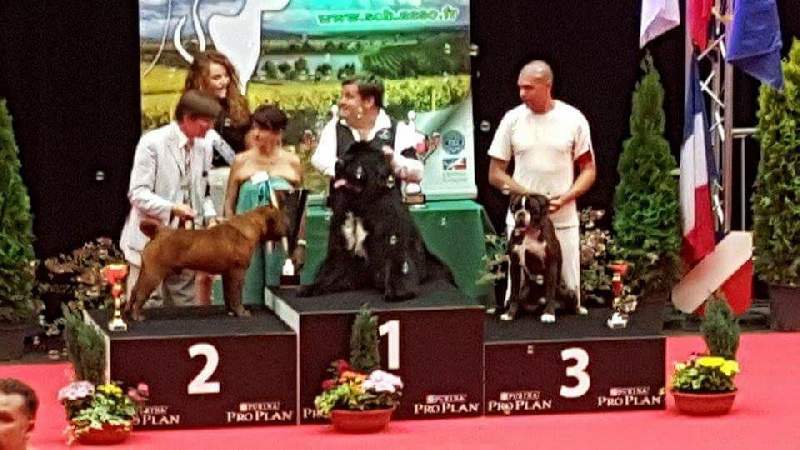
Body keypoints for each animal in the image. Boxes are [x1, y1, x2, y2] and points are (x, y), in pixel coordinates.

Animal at [126, 205, 286, 321]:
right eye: (281, 218)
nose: (288, 225)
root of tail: (160, 232)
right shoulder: (237, 273)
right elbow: (236, 294)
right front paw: (241, 312)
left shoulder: (228, 275)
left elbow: (229, 295)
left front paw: (231, 311)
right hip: (154, 275)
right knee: (140, 293)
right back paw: (137, 316)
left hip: (146, 272)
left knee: (134, 291)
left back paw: (128, 312)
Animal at [298, 141, 453, 301]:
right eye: (345, 154)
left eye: (357, 159)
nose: (338, 163)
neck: (360, 206)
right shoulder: (340, 249)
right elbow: (332, 272)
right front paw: (312, 288)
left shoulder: (392, 241)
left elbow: (397, 265)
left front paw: (398, 292)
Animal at [502, 193, 579, 323]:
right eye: (515, 208)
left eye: (532, 209)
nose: (521, 213)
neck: (529, 233)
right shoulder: (514, 265)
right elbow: (514, 293)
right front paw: (510, 314)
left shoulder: (551, 264)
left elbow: (550, 291)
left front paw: (549, 314)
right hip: (525, 292)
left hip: (571, 292)